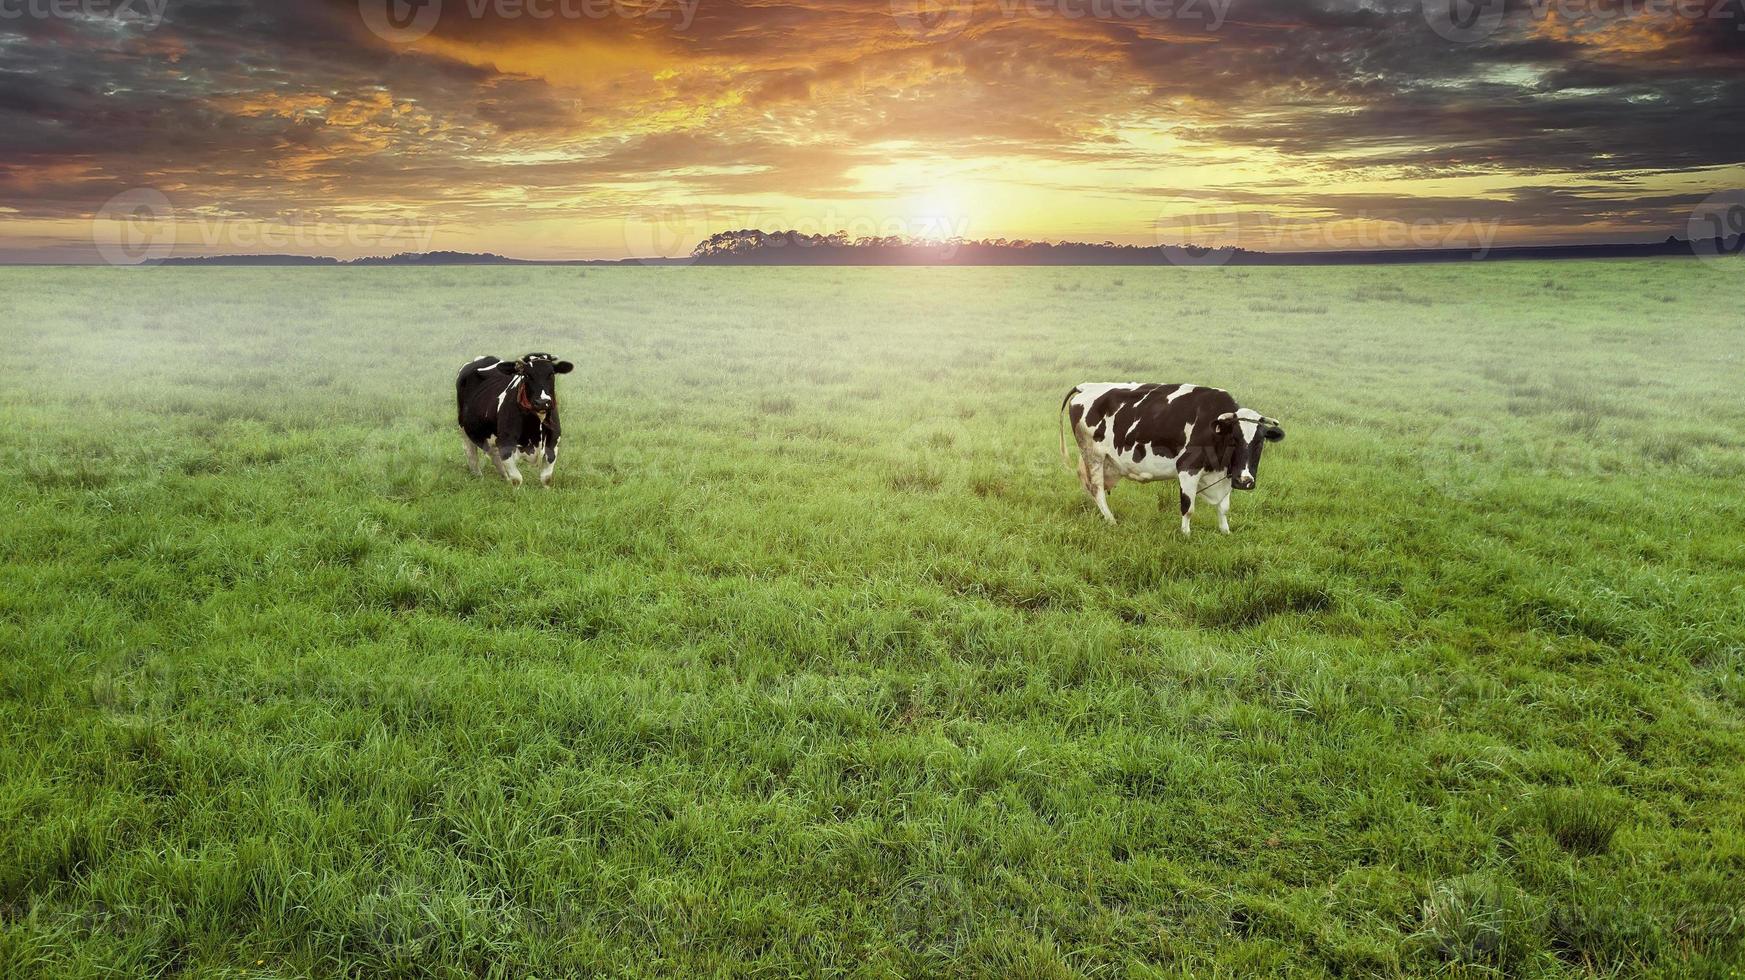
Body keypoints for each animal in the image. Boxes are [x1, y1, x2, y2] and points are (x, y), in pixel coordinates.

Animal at [457, 352, 572, 484]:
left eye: (551, 373)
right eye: (527, 375)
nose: (542, 402)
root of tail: (483, 358)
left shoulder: (553, 444)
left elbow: (546, 478)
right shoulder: (506, 445)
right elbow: (517, 479)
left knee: (493, 453)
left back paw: (505, 478)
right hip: (464, 428)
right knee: (471, 452)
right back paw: (478, 476)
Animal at [1053, 381, 1291, 533]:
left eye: (1259, 443)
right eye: (1234, 439)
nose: (1245, 481)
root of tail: (1087, 385)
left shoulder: (1225, 475)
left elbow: (1223, 507)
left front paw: (1225, 532)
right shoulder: (1188, 468)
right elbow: (1188, 507)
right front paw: (1185, 535)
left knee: (1089, 486)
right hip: (1093, 454)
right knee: (1097, 488)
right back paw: (1111, 520)